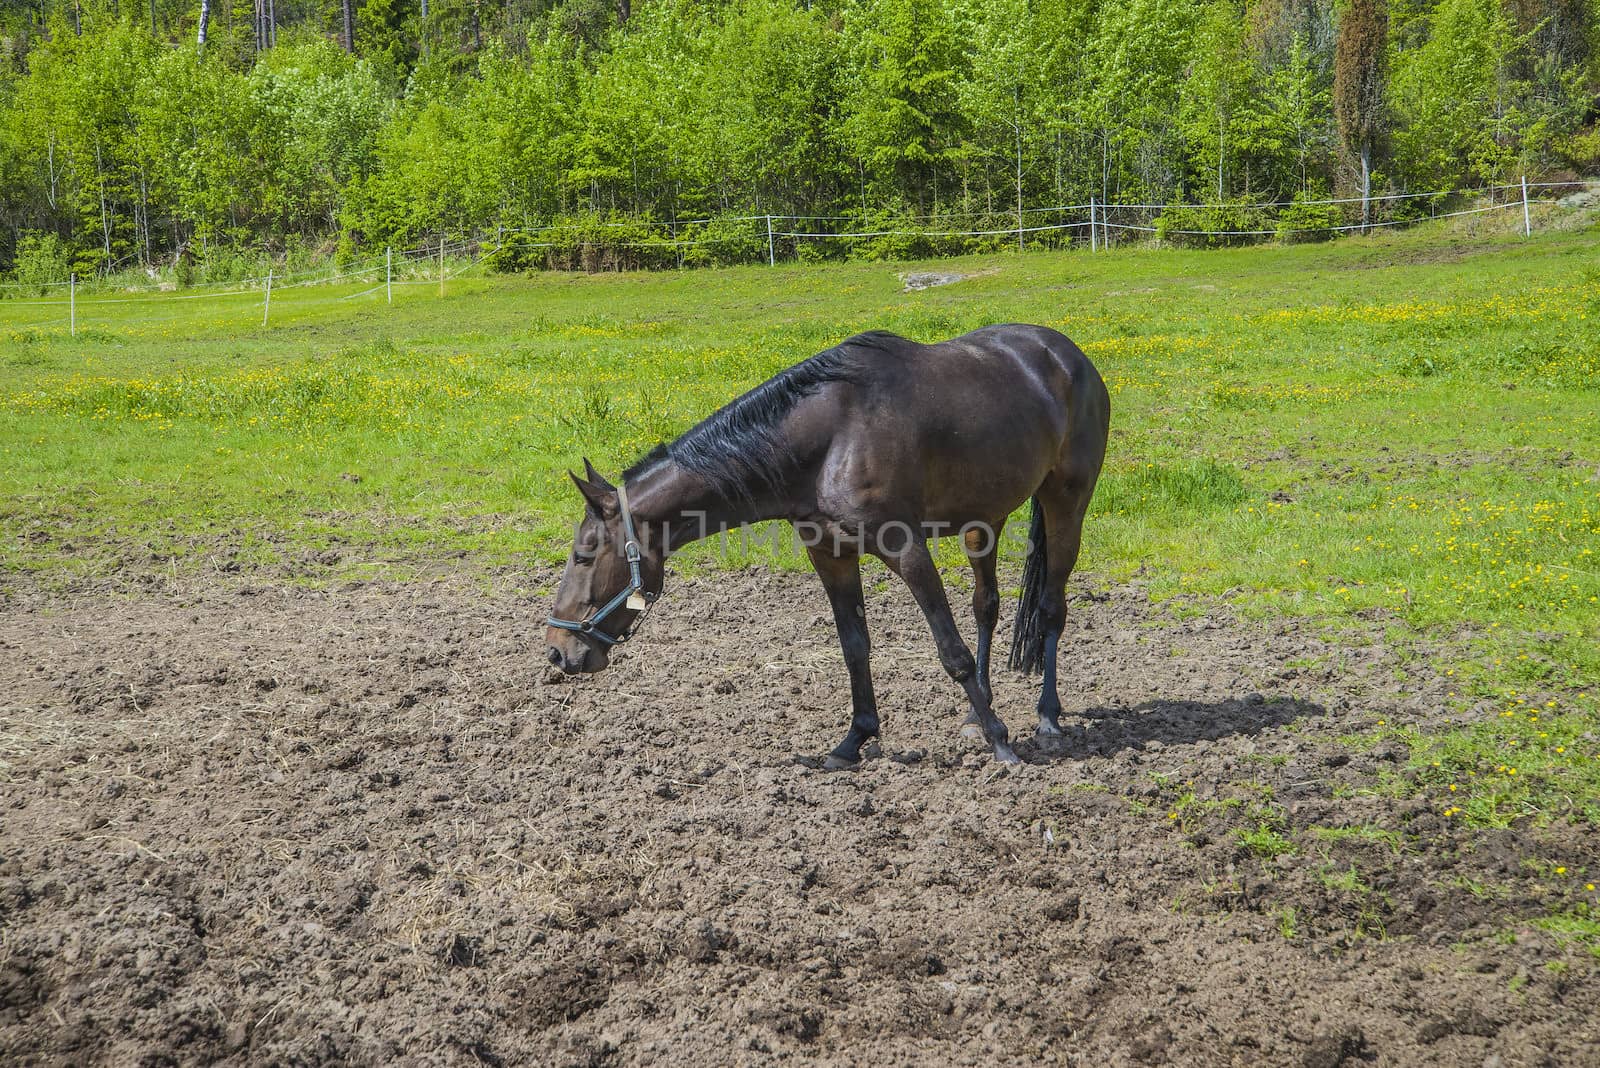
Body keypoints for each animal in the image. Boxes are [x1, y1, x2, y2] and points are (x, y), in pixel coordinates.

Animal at [544, 321, 1107, 764]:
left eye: (583, 554)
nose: (556, 652)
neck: (829, 439)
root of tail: (1068, 354)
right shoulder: (830, 553)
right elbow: (854, 646)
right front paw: (855, 739)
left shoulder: (906, 549)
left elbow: (951, 651)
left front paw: (1001, 742)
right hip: (982, 520)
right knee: (986, 605)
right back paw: (977, 711)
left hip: (1066, 502)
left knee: (1052, 607)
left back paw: (1047, 718)